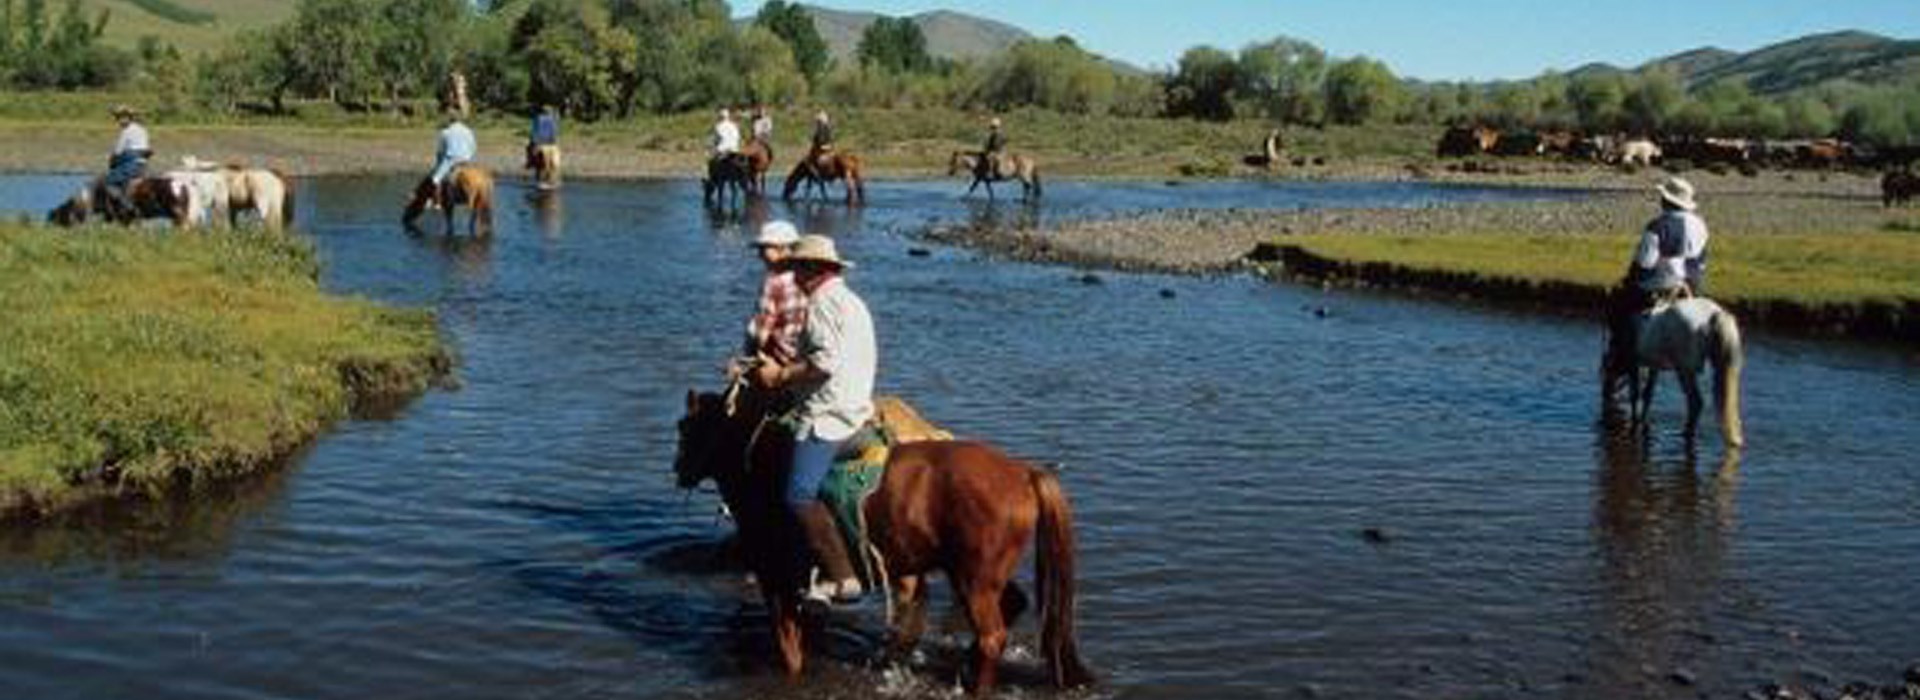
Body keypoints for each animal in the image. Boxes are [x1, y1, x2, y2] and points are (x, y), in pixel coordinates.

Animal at [675, 387, 1098, 694]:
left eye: (684, 428)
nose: (678, 469)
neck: (762, 469)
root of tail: (1024, 472)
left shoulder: (777, 581)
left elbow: (789, 651)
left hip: (973, 579)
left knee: (993, 635)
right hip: (976, 574)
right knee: (1010, 607)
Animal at [1597, 295, 1751, 446]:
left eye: (1605, 374)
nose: (1605, 397)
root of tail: (1713, 314)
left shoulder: (1633, 364)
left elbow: (1634, 395)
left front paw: (1635, 422)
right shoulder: (1654, 366)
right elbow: (1647, 395)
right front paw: (1643, 420)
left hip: (1684, 370)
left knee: (1695, 402)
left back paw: (1687, 434)